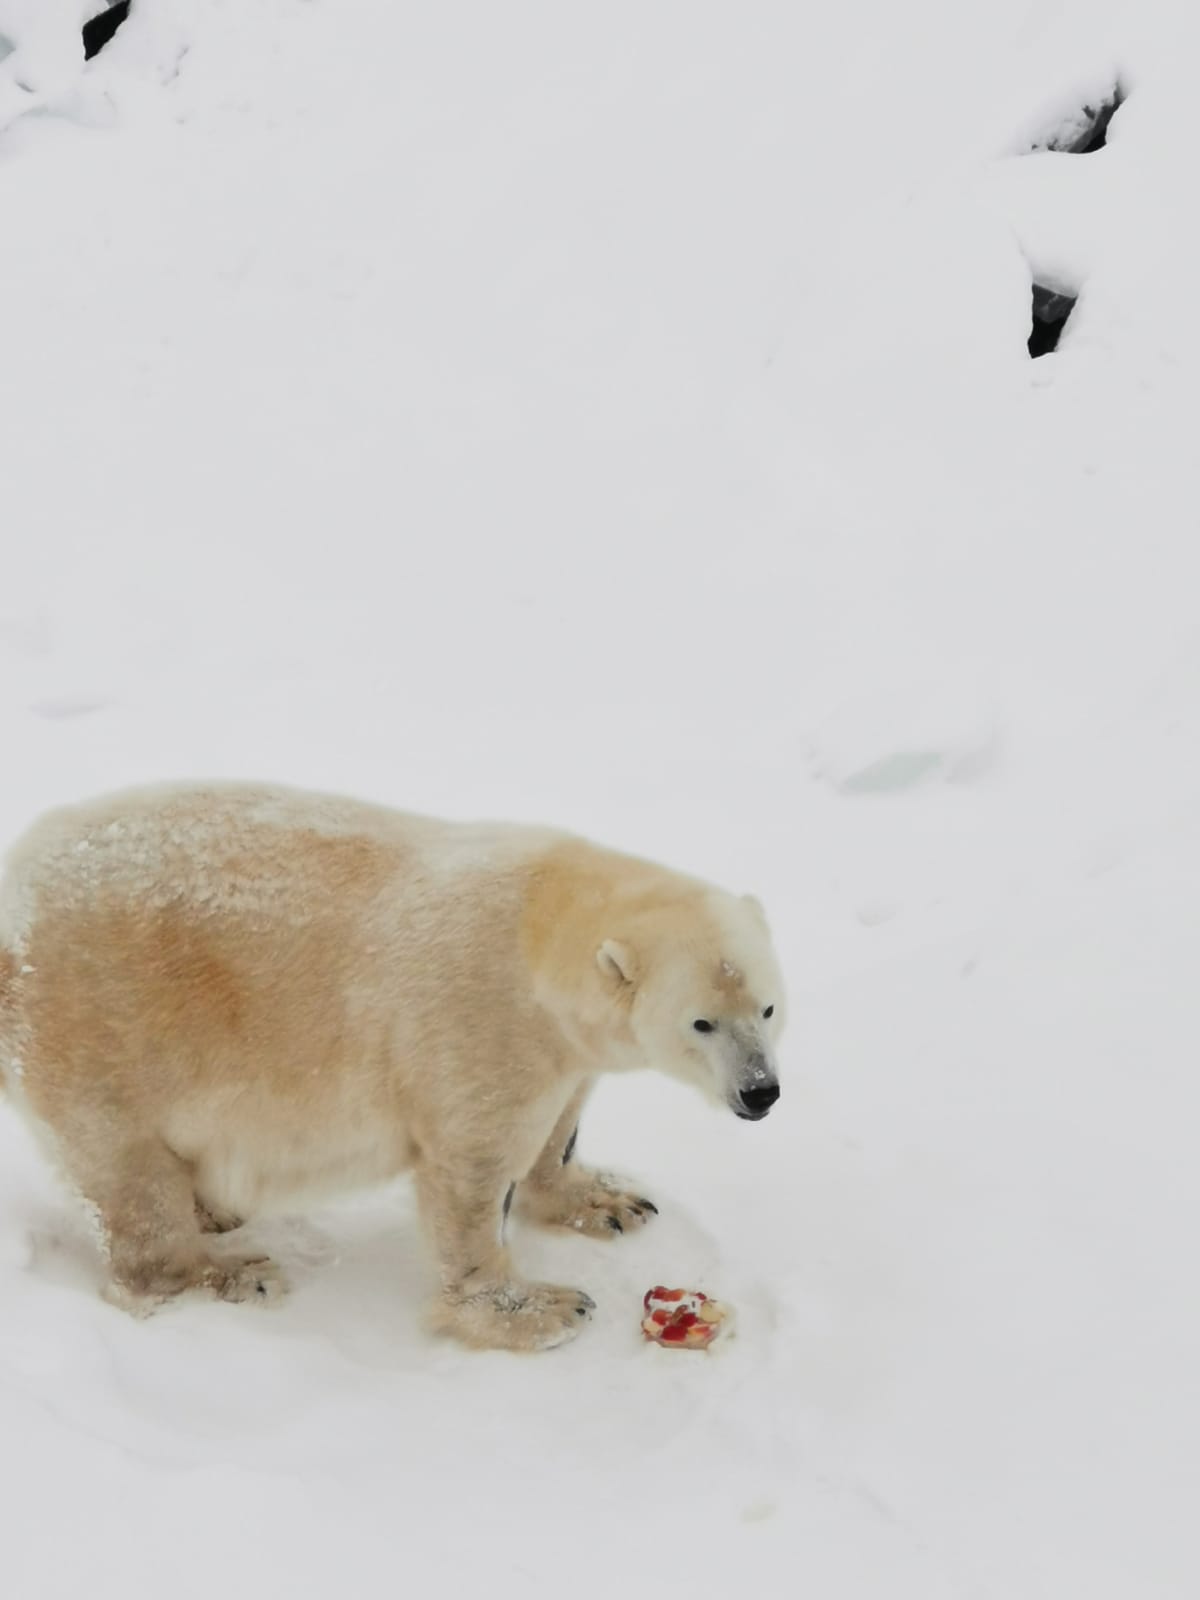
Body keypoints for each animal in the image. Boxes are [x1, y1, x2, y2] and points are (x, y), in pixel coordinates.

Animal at [0, 784, 784, 1350]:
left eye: (771, 1007)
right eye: (702, 1022)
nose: (762, 1092)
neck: (538, 922)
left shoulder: (562, 1047)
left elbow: (558, 1125)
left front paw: (610, 1201)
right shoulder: (479, 1024)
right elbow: (469, 1174)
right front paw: (541, 1309)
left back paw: (216, 1210)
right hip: (102, 1031)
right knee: (131, 1181)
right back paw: (229, 1271)